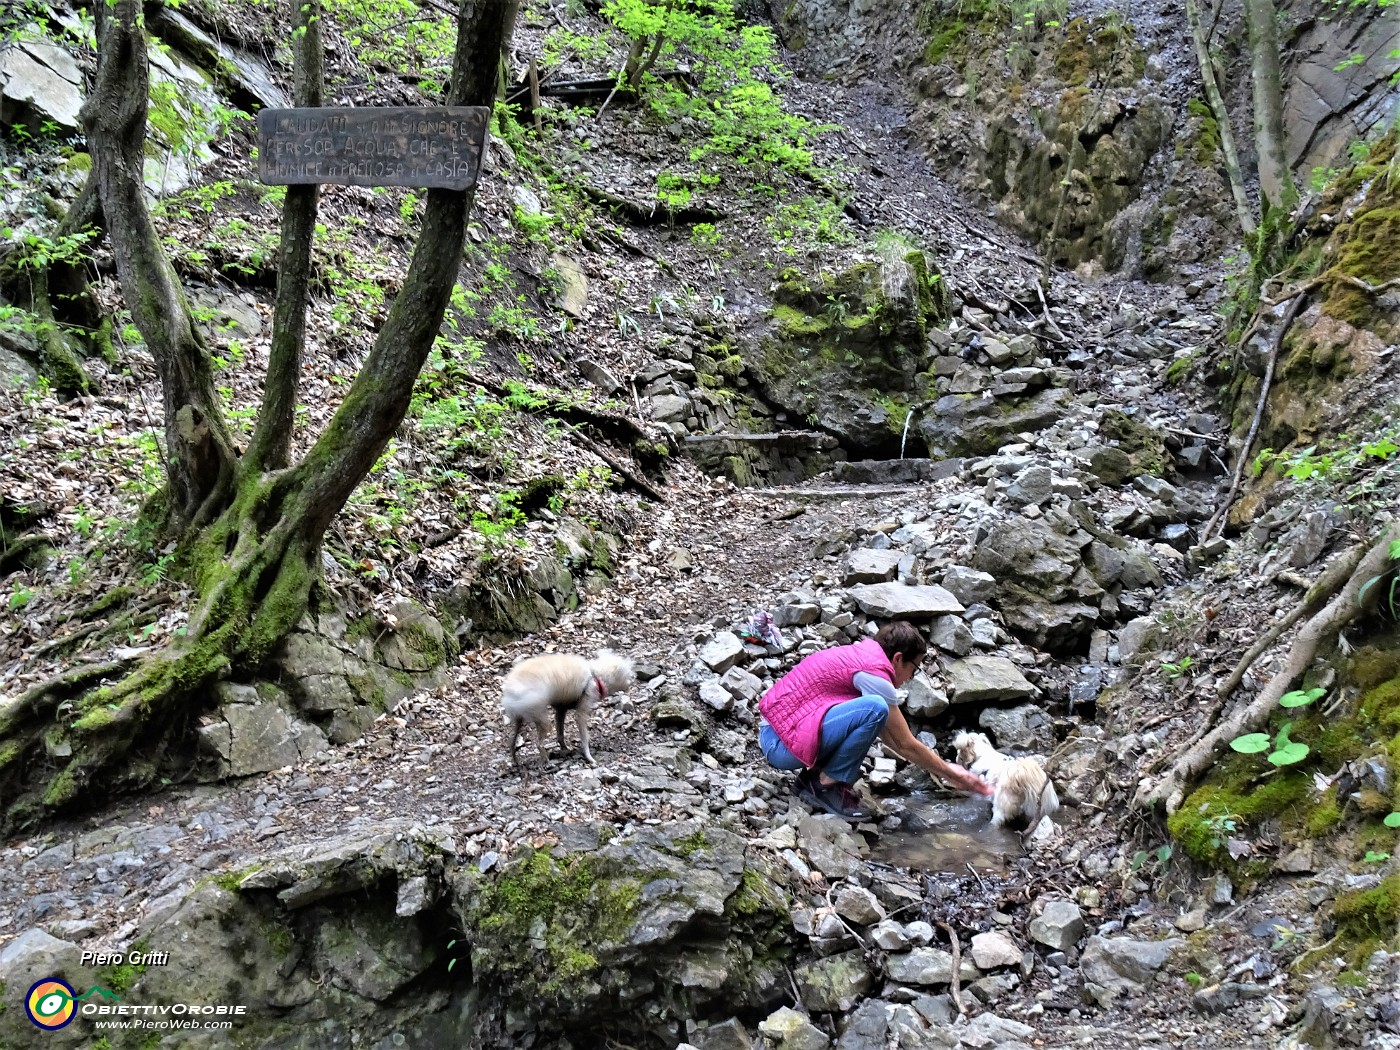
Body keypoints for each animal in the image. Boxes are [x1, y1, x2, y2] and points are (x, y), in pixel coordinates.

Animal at [504, 655, 635, 767]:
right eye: (628, 674)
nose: (631, 683)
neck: (595, 675)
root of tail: (510, 692)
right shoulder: (584, 704)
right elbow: (583, 735)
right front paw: (589, 757)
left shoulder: (561, 710)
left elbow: (560, 733)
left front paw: (564, 748)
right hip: (540, 715)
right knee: (539, 743)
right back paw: (546, 761)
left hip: (520, 718)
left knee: (513, 741)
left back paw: (516, 761)